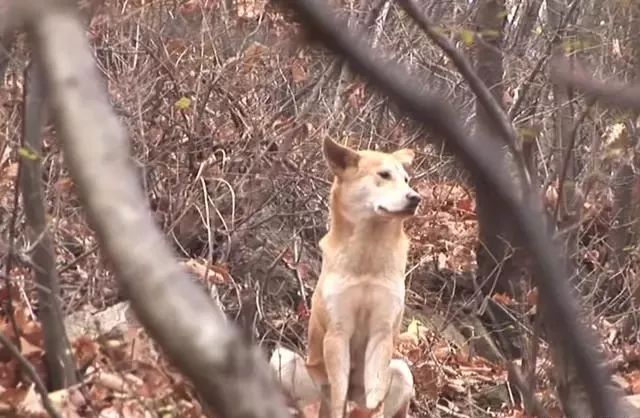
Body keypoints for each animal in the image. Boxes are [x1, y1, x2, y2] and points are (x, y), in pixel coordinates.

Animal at [270, 138, 420, 418]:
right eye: (384, 175)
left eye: (406, 180)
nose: (416, 198)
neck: (368, 253)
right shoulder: (337, 333)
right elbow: (339, 396)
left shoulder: (382, 332)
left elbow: (375, 396)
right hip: (286, 362)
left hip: (402, 372)